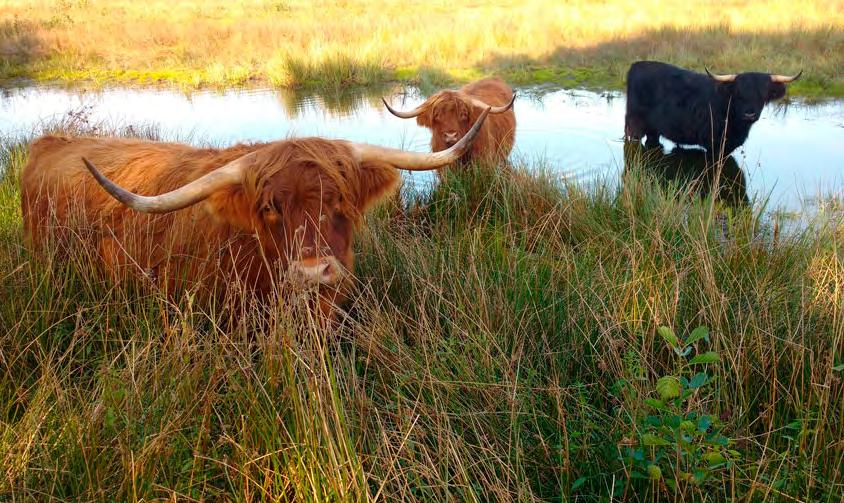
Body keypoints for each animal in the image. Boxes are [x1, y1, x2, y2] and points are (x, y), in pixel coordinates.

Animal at [624, 62, 800, 158]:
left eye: (762, 95)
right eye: (738, 94)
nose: (749, 113)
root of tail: (635, 66)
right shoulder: (713, 146)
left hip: (654, 129)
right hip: (634, 126)